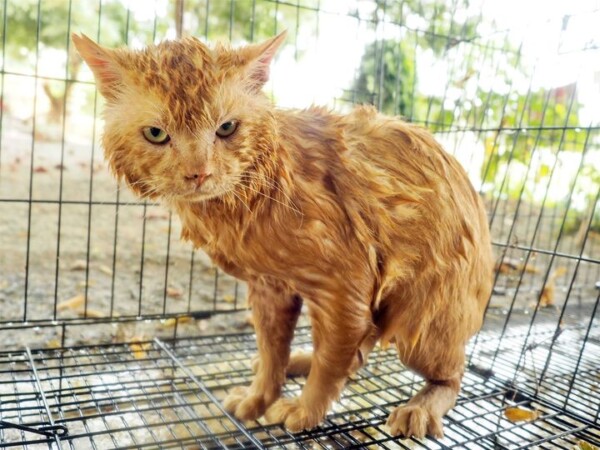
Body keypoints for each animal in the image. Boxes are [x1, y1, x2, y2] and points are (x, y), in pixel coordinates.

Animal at [73, 31, 493, 439]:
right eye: (156, 134)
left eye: (227, 128)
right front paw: (259, 396)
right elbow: (272, 351)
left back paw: (420, 407)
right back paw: (301, 360)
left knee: (451, 374)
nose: (198, 173)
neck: (251, 197)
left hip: (420, 318)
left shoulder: (345, 284)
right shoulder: (268, 286)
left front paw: (305, 410)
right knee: (362, 348)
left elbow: (331, 361)